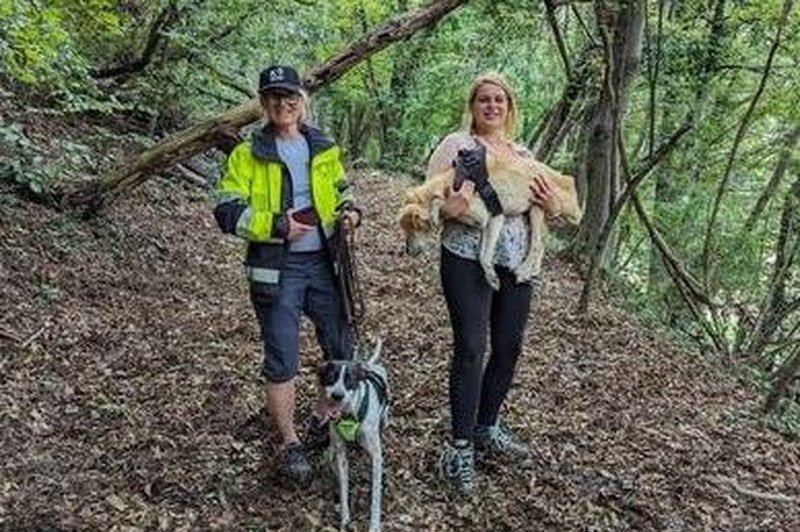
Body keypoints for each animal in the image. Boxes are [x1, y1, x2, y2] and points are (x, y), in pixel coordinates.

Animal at [320, 340, 392, 532]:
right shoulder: (342, 455)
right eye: (331, 377)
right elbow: (344, 487)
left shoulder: (376, 457)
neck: (349, 415)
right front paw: (345, 519)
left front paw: (374, 525)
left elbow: (375, 496)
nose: (337, 395)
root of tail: (369, 366)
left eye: (349, 380)